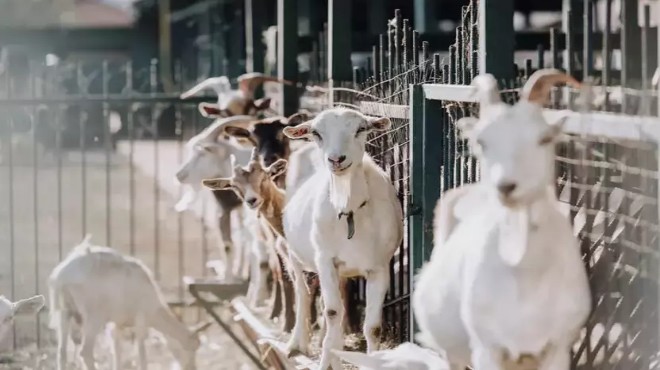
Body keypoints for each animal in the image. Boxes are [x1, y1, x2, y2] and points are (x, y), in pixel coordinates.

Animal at [49, 236, 201, 368]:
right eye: (191, 349)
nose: (192, 367)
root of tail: (62, 275)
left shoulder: (117, 324)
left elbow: (117, 351)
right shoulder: (141, 319)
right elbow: (141, 352)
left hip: (64, 311)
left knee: (61, 352)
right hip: (93, 316)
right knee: (85, 352)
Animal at [280, 108, 402, 368]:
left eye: (361, 128)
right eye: (316, 132)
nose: (336, 159)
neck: (349, 211)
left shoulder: (379, 266)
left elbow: (373, 328)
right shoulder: (325, 260)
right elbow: (333, 313)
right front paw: (325, 361)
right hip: (294, 251)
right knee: (302, 293)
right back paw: (296, 344)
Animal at [412, 69, 592, 370]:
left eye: (544, 139)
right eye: (482, 142)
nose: (505, 186)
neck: (524, 273)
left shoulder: (558, 346)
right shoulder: (487, 348)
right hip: (451, 351)